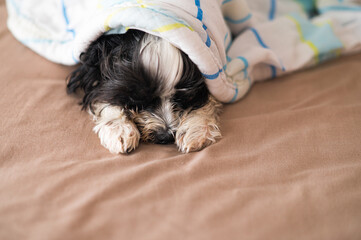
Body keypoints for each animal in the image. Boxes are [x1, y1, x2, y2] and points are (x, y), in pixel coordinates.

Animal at [66, 29, 221, 154]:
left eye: (184, 98)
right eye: (137, 99)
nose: (165, 136)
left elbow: (207, 99)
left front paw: (195, 131)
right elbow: (103, 96)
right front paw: (119, 129)